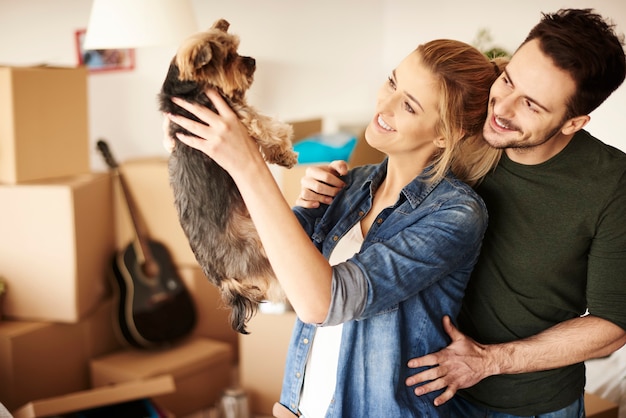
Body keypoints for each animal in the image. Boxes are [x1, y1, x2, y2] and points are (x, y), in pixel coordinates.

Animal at [160, 18, 298, 334]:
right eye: (228, 58)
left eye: (238, 49)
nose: (252, 61)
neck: (186, 89)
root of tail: (225, 282)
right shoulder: (235, 113)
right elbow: (266, 125)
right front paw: (284, 152)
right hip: (261, 251)